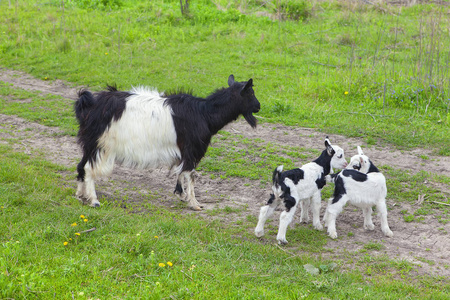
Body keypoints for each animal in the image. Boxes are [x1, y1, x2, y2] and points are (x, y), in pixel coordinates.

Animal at [74, 75, 260, 210]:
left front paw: (181, 195)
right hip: (102, 145)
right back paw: (94, 200)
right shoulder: (192, 150)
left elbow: (181, 171)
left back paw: (80, 195)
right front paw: (194, 203)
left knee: (81, 165)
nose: (258, 107)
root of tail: (89, 104)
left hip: (90, 143)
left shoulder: (183, 150)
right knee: (88, 168)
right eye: (250, 93)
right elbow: (190, 174)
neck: (203, 113)